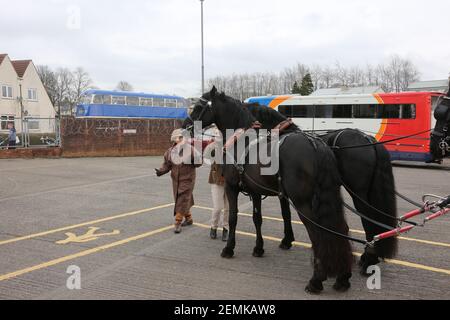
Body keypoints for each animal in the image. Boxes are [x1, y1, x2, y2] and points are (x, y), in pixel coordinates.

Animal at [185, 86, 354, 294]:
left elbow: (233, 218)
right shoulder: (255, 191)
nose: (185, 124)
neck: (241, 141)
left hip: (303, 202)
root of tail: (316, 144)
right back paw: (343, 277)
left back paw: (316, 280)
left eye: (199, 106)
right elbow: (257, 219)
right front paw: (259, 248)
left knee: (316, 232)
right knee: (340, 228)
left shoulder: (231, 187)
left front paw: (229, 248)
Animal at [244, 103, 400, 272]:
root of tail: (367, 138)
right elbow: (286, 214)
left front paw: (285, 241)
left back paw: (368, 259)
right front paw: (287, 239)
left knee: (368, 218)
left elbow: (285, 214)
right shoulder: (283, 191)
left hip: (358, 192)